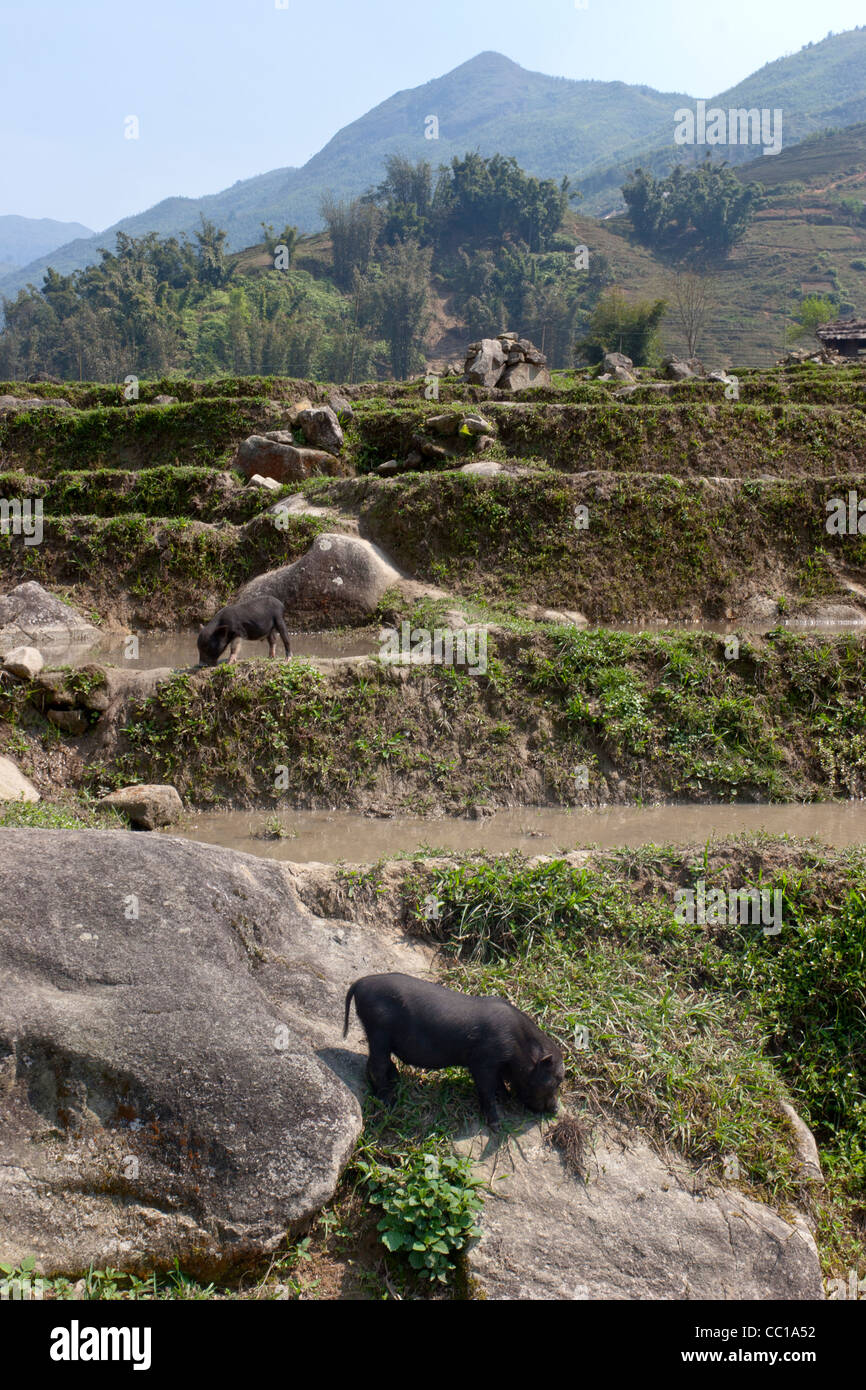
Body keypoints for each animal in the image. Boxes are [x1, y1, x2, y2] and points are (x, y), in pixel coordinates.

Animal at [341, 973, 567, 1123]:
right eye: (556, 1080)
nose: (556, 1109)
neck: (517, 1043)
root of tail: (360, 983)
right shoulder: (482, 1061)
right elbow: (486, 1087)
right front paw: (496, 1123)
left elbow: (498, 1082)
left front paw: (505, 1097)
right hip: (379, 1030)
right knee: (376, 1065)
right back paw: (389, 1100)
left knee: (377, 1062)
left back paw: (394, 1080)